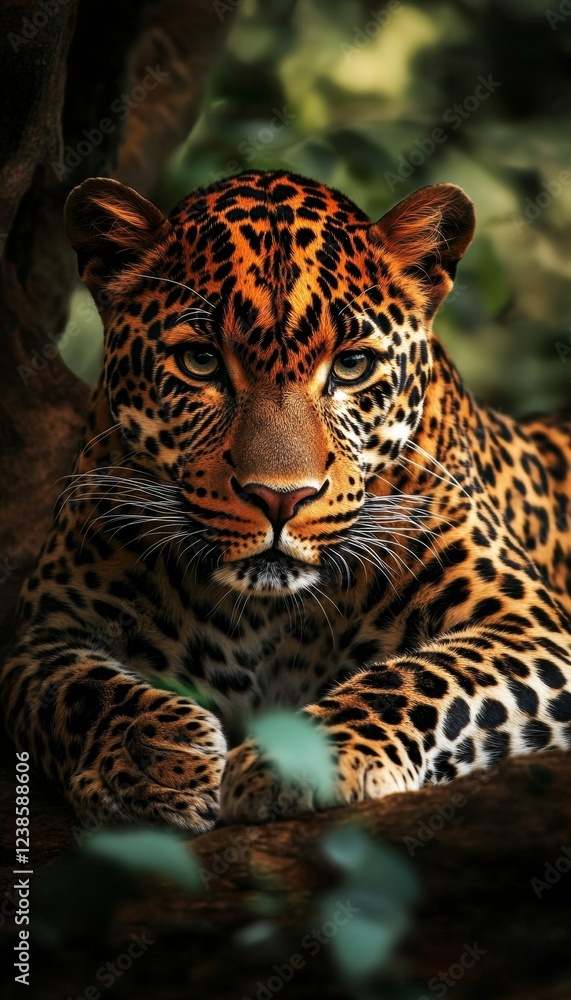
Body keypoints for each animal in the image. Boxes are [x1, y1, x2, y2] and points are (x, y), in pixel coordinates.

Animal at [2, 168, 571, 834]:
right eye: (201, 361)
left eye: (352, 366)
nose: (279, 498)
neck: (267, 616)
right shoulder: (45, 633)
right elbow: (85, 691)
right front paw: (150, 765)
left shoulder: (527, 624)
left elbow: (420, 677)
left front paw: (305, 762)